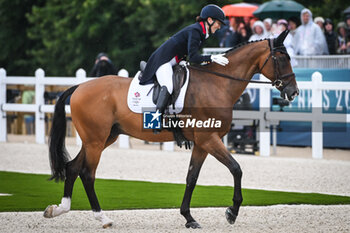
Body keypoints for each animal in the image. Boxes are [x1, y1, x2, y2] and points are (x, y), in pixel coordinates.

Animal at [42, 30, 296, 228]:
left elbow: (192, 177)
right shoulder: (210, 139)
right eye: (281, 58)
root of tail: (79, 87)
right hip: (96, 141)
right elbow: (236, 169)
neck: (217, 84)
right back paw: (102, 218)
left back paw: (59, 209)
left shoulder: (202, 144)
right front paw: (232, 212)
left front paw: (189, 218)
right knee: (87, 173)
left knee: (73, 167)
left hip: (103, 138)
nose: (293, 92)